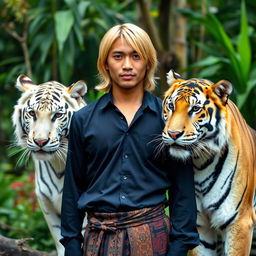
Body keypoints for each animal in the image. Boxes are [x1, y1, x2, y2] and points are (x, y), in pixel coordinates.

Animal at [12, 75, 87, 256]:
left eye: (57, 115)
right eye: (32, 113)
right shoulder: (46, 203)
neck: (59, 164)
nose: (40, 141)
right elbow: (61, 240)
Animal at [162, 70, 256, 256]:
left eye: (195, 109)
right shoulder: (198, 224)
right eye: (171, 106)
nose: (173, 133)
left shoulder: (240, 222)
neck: (200, 163)